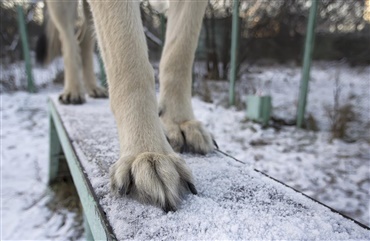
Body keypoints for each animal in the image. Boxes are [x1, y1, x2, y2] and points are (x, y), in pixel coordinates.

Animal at [37, 0, 214, 211]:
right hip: (61, 8)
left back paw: (93, 88)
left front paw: (180, 122)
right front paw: (147, 152)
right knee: (68, 39)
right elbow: (131, 61)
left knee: (84, 39)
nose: (180, 121)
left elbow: (180, 53)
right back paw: (73, 90)